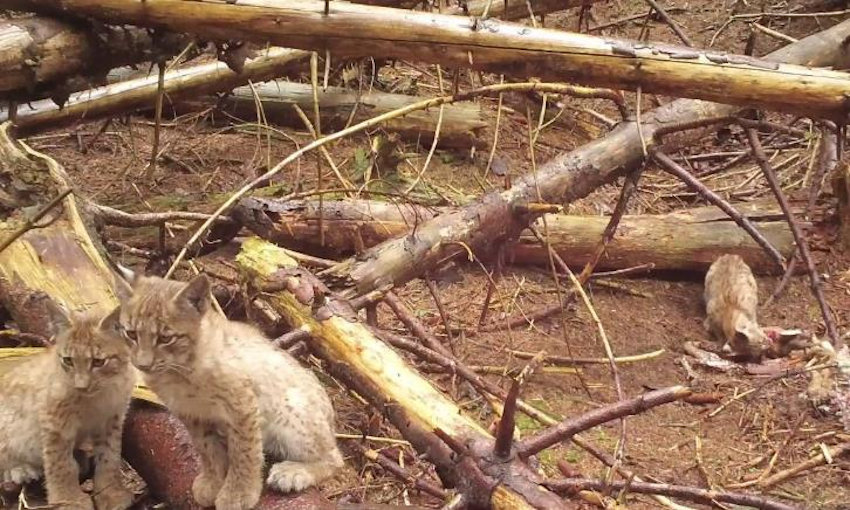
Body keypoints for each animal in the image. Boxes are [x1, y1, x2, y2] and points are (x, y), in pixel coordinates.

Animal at [0, 302, 133, 510]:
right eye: (68, 361)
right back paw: (21, 469)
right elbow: (61, 463)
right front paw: (68, 500)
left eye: (98, 362)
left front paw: (110, 493)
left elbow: (110, 455)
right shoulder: (54, 419)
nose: (81, 386)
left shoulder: (113, 418)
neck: (99, 394)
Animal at [109, 274, 342, 510]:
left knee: (335, 457)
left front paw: (239, 494)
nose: (143, 365)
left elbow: (244, 451)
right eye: (131, 334)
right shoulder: (190, 412)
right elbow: (205, 448)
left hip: (291, 408)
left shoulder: (241, 403)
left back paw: (294, 472)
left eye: (166, 338)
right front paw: (213, 482)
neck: (179, 370)